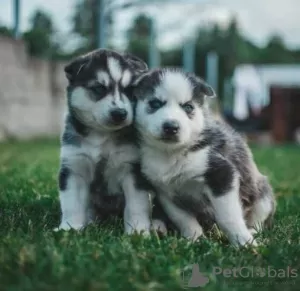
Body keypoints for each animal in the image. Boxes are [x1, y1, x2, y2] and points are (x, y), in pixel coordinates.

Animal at [55, 48, 152, 235]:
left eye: (129, 90)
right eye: (99, 88)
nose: (120, 113)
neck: (101, 135)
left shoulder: (132, 169)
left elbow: (136, 205)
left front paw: (137, 231)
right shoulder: (74, 166)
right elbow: (72, 204)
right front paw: (70, 228)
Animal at [134, 69, 276, 248]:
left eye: (188, 107)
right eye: (155, 103)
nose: (171, 127)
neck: (171, 154)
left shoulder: (221, 174)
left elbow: (228, 216)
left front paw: (243, 242)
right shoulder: (165, 192)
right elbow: (183, 219)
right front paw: (193, 239)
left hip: (262, 194)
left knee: (259, 218)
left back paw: (252, 232)